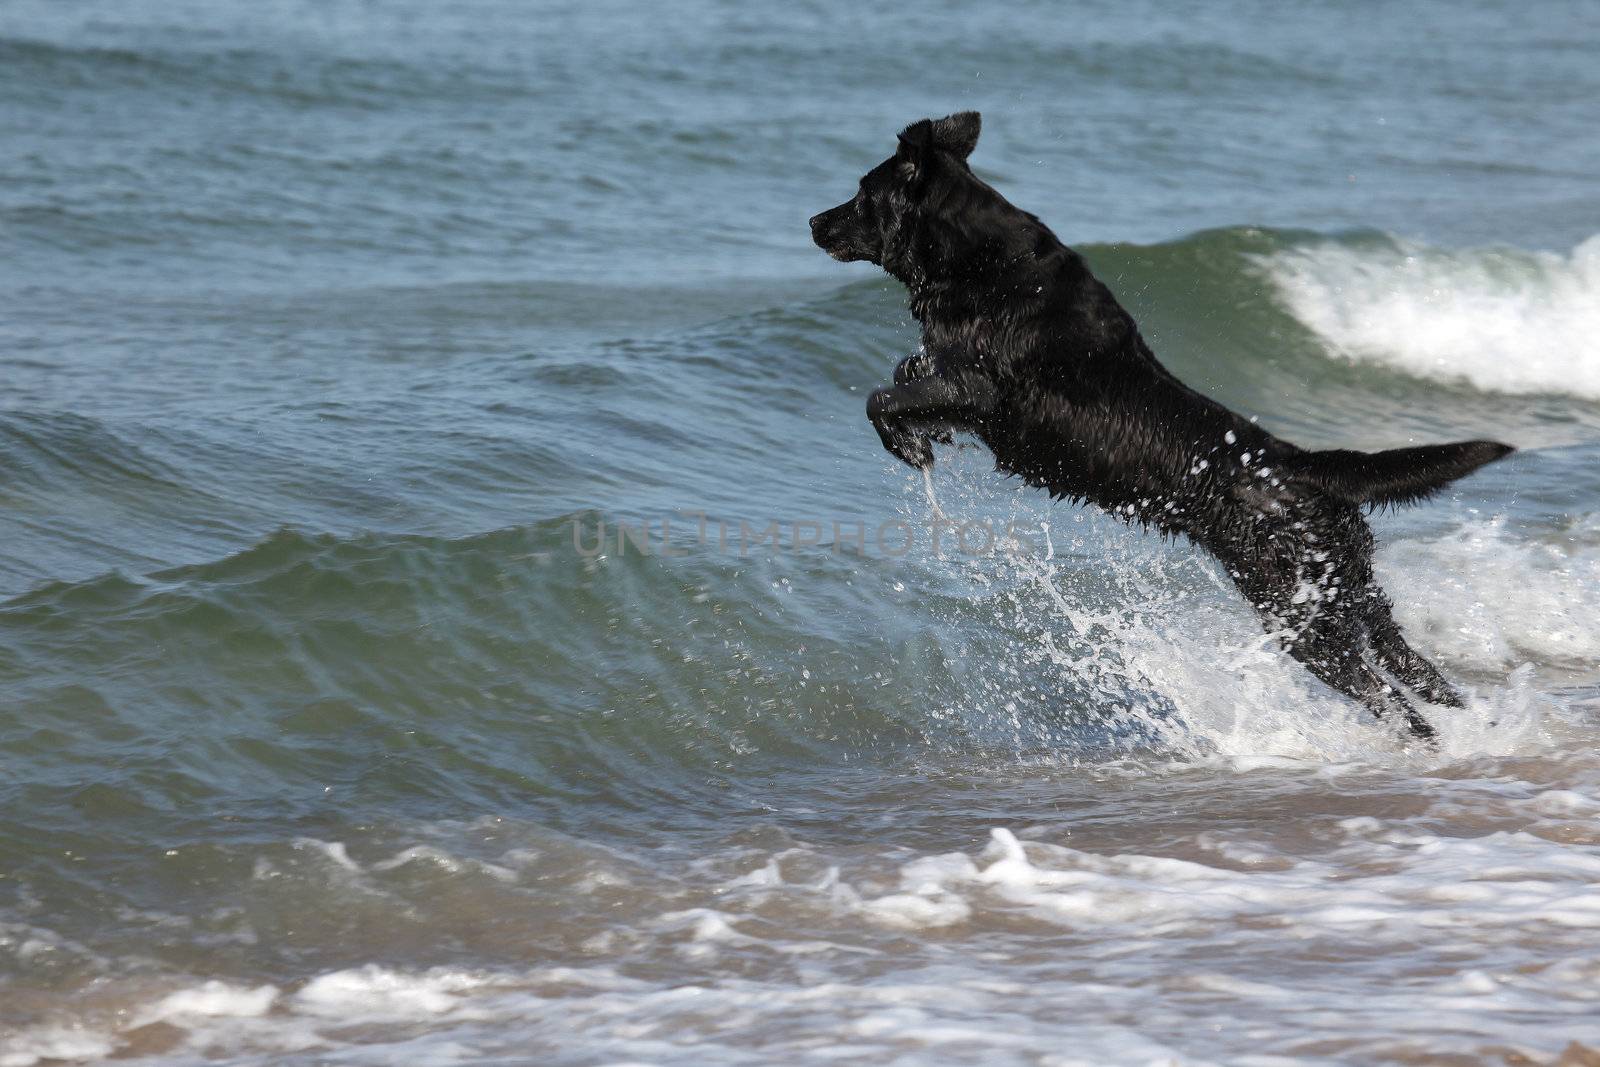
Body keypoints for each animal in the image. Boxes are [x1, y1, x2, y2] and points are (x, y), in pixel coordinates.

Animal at [812, 110, 1510, 742]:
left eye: (862, 192)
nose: (813, 222)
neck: (976, 258)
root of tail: (1303, 464)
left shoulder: (976, 387)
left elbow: (883, 396)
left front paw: (908, 443)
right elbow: (904, 372)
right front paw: (919, 431)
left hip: (1300, 613)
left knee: (1391, 699)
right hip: (1355, 596)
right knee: (1417, 672)